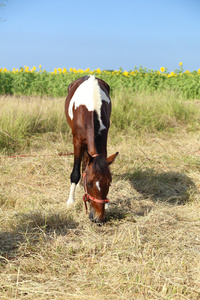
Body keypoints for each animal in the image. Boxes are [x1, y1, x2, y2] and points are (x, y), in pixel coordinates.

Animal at [65, 75, 118, 223]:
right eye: (89, 183)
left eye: (109, 183)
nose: (98, 218)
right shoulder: (77, 141)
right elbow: (75, 173)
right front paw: (70, 201)